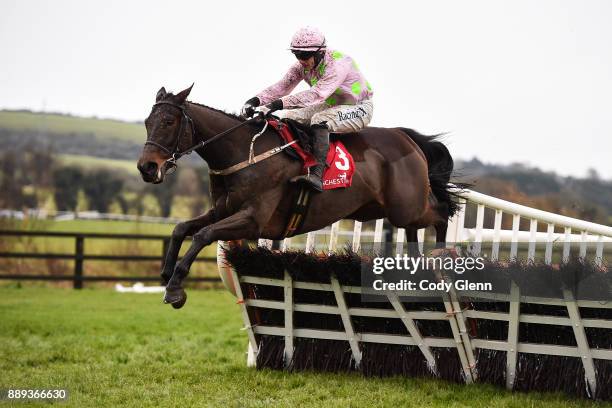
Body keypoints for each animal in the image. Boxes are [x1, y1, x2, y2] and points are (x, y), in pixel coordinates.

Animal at [136, 86, 456, 310]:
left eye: (168, 121)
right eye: (147, 121)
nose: (146, 167)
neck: (242, 152)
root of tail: (408, 138)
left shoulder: (253, 219)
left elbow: (203, 235)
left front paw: (175, 288)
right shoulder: (223, 210)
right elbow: (182, 228)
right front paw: (166, 274)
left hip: (406, 206)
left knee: (442, 213)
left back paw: (442, 254)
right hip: (392, 210)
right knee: (417, 229)